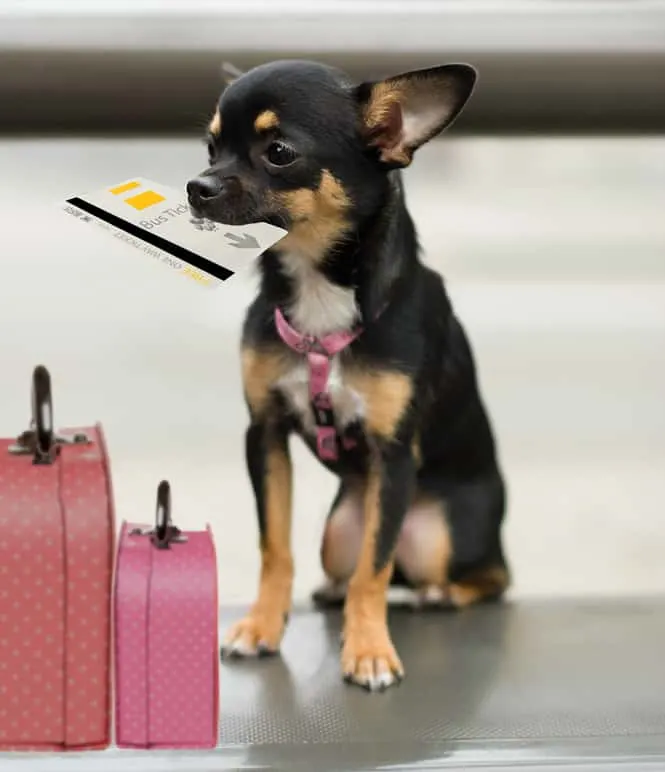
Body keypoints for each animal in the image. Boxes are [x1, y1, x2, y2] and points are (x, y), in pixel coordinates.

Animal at [187, 57, 508, 692]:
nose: (197, 186)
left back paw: (438, 594)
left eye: (279, 152)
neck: (319, 294)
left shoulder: (393, 454)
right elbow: (274, 547)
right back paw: (332, 592)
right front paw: (262, 626)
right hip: (338, 532)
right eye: (211, 148)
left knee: (487, 577)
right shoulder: (264, 435)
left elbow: (374, 570)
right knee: (346, 565)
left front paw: (369, 651)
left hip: (440, 533)